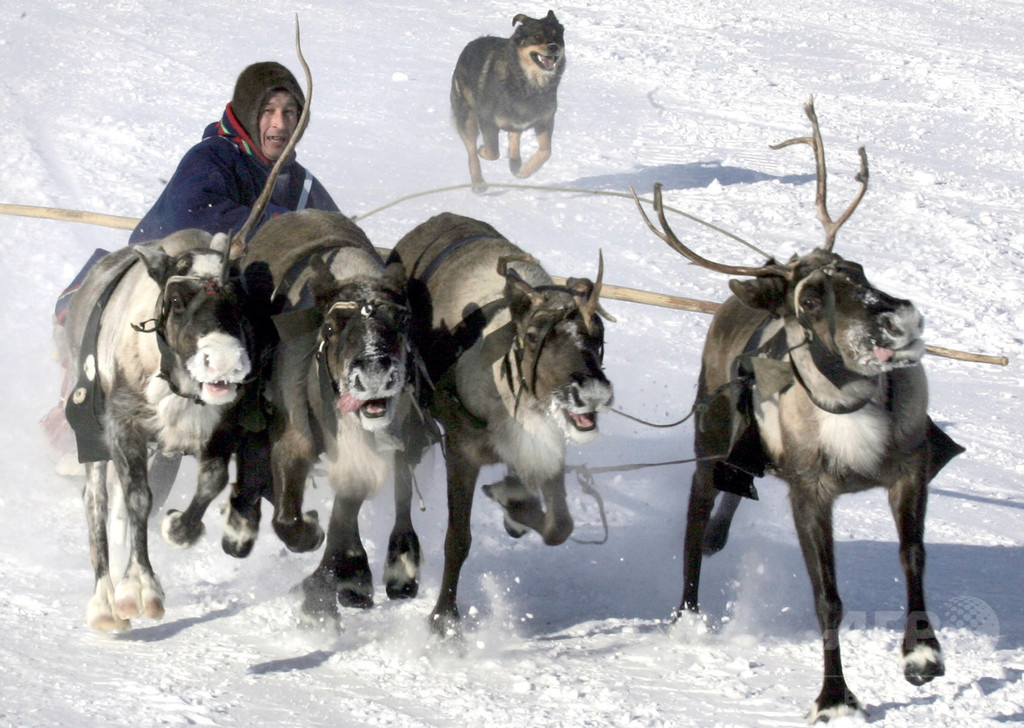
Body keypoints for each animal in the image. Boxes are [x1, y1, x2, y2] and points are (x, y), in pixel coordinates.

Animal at [450, 10, 565, 190]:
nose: (554, 47)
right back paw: (478, 182)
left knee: (514, 134)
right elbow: (492, 151)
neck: (528, 83)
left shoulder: (545, 119)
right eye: (537, 36)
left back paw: (515, 162)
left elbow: (546, 151)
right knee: (471, 149)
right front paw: (482, 150)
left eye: (558, 36)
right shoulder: (487, 120)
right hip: (466, 114)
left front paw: (524, 171)